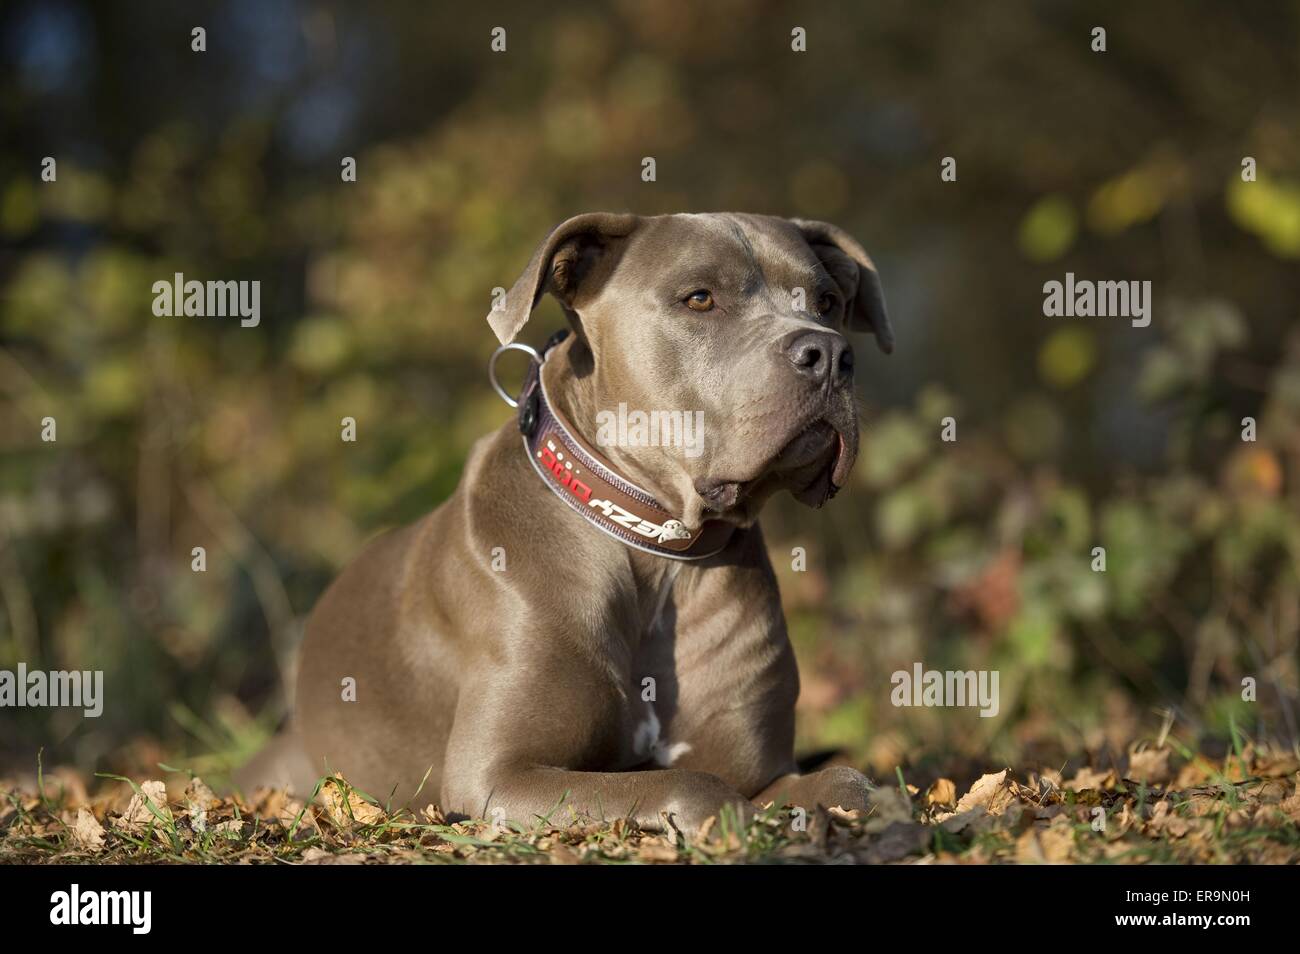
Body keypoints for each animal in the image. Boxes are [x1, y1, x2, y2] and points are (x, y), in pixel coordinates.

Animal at [239, 213, 894, 831]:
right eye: (700, 298)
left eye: (827, 302)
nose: (830, 355)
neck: (653, 546)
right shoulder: (497, 774)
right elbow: (681, 782)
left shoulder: (763, 769)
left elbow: (849, 781)